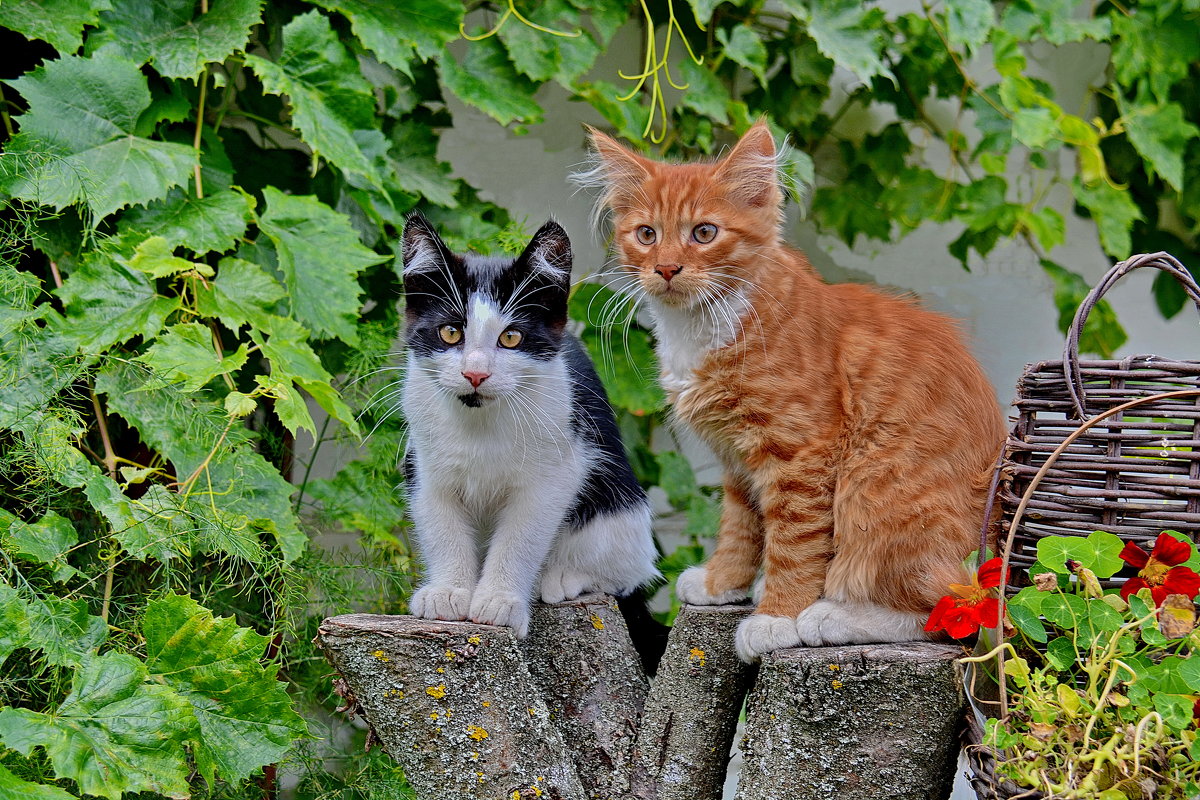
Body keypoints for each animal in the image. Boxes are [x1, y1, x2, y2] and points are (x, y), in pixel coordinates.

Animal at [398, 212, 662, 642]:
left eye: (511, 337)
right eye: (451, 332)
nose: (475, 373)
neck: (482, 422)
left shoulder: (555, 473)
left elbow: (520, 536)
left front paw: (500, 601)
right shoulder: (425, 463)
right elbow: (442, 526)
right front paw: (448, 592)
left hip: (620, 507)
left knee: (626, 571)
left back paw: (561, 578)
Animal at [578, 123, 1003, 662]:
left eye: (704, 233)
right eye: (646, 235)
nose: (667, 269)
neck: (701, 325)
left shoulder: (801, 452)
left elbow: (794, 541)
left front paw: (778, 617)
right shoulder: (736, 459)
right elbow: (741, 527)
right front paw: (723, 582)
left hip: (874, 490)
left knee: (948, 611)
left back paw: (832, 615)